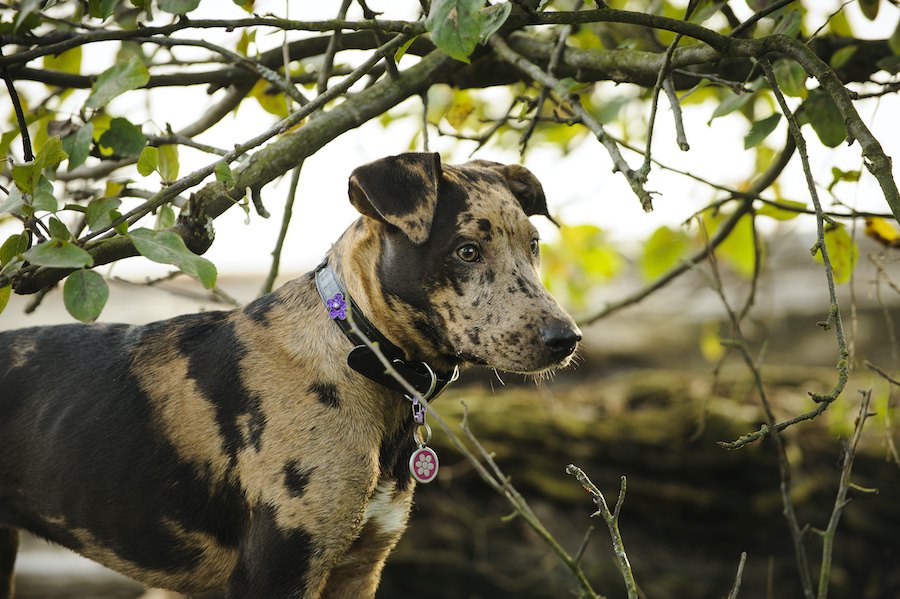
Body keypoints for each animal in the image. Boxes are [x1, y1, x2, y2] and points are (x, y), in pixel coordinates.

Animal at [0, 155, 584, 599]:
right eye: (467, 251)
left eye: (534, 245)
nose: (567, 339)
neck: (355, 355)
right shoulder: (278, 569)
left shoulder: (360, 568)